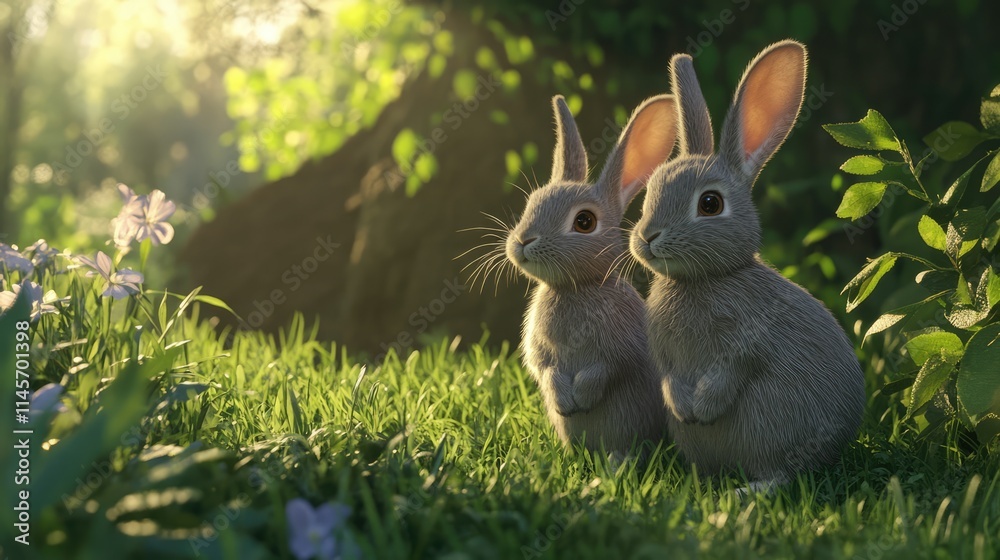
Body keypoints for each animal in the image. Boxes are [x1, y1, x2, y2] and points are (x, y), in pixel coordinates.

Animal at [504, 94, 678, 455]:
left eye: (584, 222)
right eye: (532, 203)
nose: (523, 241)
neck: (574, 288)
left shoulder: (620, 348)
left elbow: (606, 369)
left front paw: (580, 398)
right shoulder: (539, 349)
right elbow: (544, 367)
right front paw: (563, 400)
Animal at [629, 41, 865, 492]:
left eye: (710, 204)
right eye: (649, 194)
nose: (647, 237)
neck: (702, 279)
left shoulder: (746, 341)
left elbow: (734, 370)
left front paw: (702, 407)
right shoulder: (663, 355)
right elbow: (669, 378)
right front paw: (684, 406)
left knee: (782, 475)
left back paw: (745, 491)